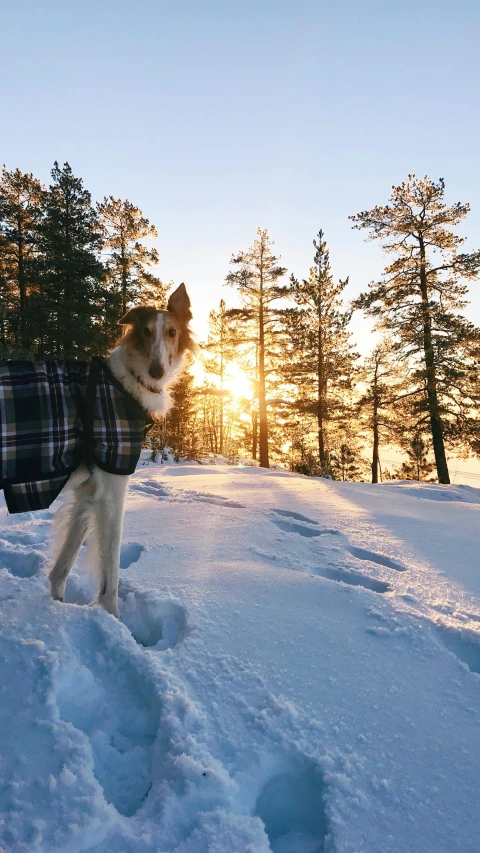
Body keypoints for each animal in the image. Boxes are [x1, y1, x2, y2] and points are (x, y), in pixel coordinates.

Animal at [1, 282, 195, 616]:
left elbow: (61, 568)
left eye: (172, 332)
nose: (157, 371)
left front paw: (58, 607)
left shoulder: (87, 491)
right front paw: (114, 621)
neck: (125, 381)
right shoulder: (111, 488)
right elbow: (110, 576)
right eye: (145, 331)